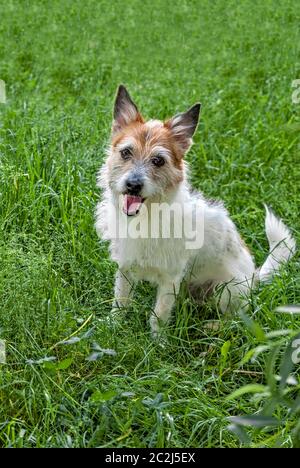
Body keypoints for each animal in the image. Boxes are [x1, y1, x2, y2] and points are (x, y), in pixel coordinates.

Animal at [95, 84, 296, 338]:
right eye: (126, 153)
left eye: (158, 161)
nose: (133, 185)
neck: (147, 216)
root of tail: (254, 278)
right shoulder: (125, 267)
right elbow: (120, 301)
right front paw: (112, 326)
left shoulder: (170, 279)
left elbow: (159, 315)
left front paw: (157, 342)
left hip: (225, 290)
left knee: (236, 319)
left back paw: (212, 327)